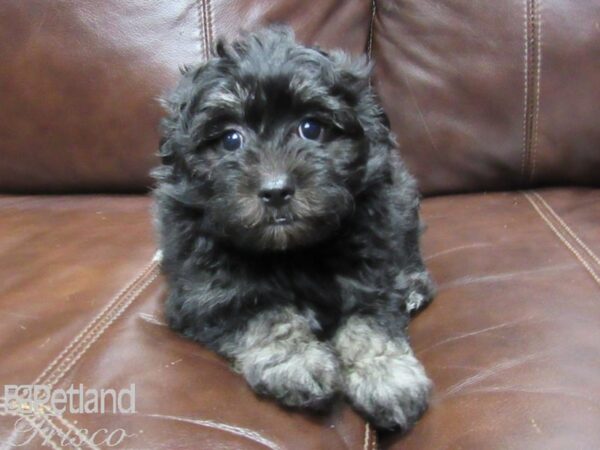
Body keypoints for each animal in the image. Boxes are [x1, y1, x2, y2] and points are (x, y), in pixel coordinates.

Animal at [154, 26, 436, 430]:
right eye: (230, 139)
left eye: (311, 128)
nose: (276, 191)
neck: (291, 251)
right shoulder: (206, 295)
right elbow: (267, 315)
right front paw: (299, 363)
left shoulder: (372, 268)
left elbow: (370, 323)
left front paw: (387, 376)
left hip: (402, 197)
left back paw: (412, 285)